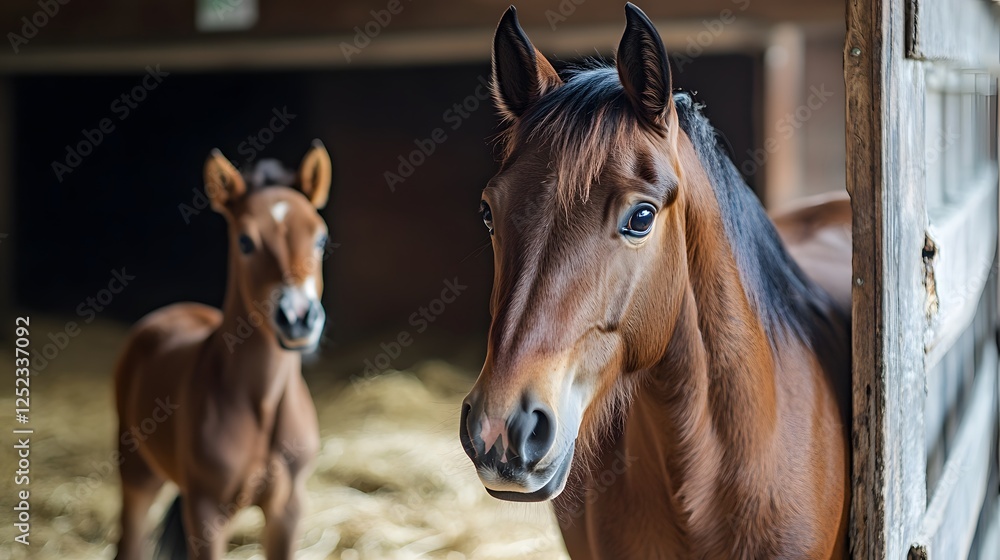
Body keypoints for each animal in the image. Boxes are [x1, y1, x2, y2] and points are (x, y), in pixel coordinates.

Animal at [113, 142, 331, 559]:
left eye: (321, 239)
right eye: (245, 241)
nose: (298, 317)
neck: (261, 404)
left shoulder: (288, 508)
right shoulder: (206, 513)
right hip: (137, 471)